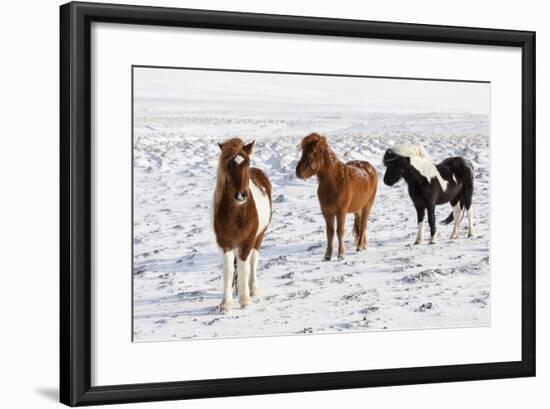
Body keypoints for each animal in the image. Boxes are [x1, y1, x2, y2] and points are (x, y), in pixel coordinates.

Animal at [298, 134, 380, 262]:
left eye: (314, 152)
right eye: (303, 151)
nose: (298, 172)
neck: (334, 182)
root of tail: (370, 167)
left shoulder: (341, 212)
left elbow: (339, 231)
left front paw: (341, 255)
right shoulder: (327, 213)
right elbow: (330, 232)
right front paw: (327, 255)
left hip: (367, 206)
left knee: (364, 223)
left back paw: (359, 246)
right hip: (357, 208)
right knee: (360, 223)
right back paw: (363, 245)